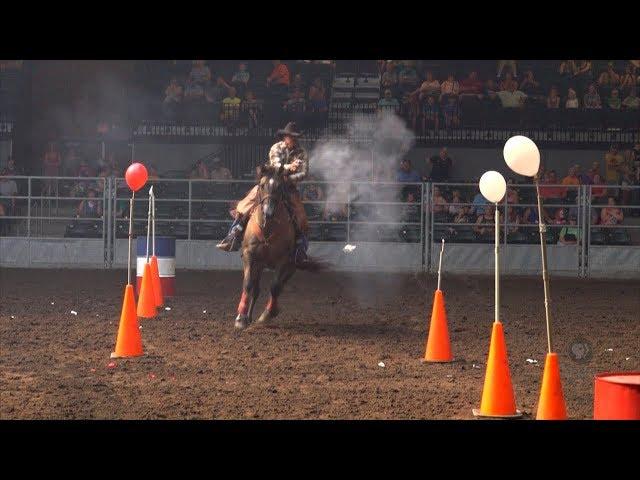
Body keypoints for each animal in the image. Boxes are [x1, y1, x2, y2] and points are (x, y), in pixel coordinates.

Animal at [234, 163, 324, 328]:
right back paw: (248, 317)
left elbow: (275, 287)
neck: (268, 229)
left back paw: (270, 311)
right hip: (259, 265)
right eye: (262, 185)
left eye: (280, 187)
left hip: (291, 267)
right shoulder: (250, 256)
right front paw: (241, 318)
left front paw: (267, 315)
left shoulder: (284, 260)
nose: (268, 212)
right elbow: (248, 284)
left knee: (279, 287)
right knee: (255, 289)